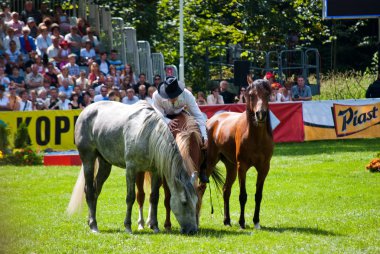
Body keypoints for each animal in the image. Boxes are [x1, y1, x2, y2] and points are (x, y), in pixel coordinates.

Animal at [68, 100, 197, 234]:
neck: (148, 135)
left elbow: (154, 197)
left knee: (95, 191)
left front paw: (155, 226)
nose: (192, 230)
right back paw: (93, 225)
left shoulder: (155, 172)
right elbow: (130, 197)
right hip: (88, 160)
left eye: (196, 201)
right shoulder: (131, 169)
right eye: (184, 202)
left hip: (105, 164)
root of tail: (86, 110)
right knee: (89, 191)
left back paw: (90, 221)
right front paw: (128, 226)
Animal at [205, 78, 274, 229]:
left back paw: (227, 220)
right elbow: (243, 196)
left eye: (267, 94)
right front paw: (242, 222)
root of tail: (212, 120)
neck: (256, 138)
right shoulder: (242, 167)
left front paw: (256, 221)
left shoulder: (264, 168)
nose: (261, 114)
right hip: (211, 162)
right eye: (251, 95)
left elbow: (258, 195)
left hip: (231, 167)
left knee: (226, 190)